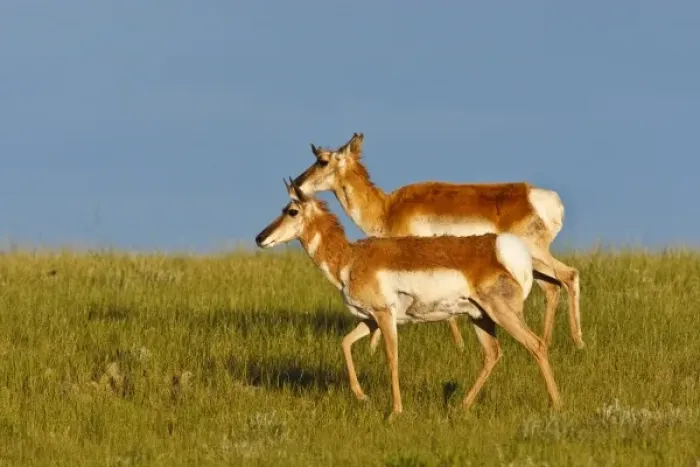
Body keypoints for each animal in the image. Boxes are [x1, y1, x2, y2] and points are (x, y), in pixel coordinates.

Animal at [255, 179, 562, 416]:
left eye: (291, 210)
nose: (260, 237)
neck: (350, 258)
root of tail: (502, 248)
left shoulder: (384, 316)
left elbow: (392, 358)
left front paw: (395, 411)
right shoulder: (370, 319)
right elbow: (345, 343)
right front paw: (362, 396)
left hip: (502, 313)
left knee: (536, 345)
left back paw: (556, 405)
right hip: (480, 317)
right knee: (492, 354)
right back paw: (462, 406)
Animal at [293, 133, 583, 351]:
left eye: (322, 160)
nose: (296, 183)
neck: (388, 208)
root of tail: (542, 197)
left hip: (535, 256)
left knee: (568, 275)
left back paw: (577, 342)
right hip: (532, 264)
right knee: (553, 287)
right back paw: (548, 340)